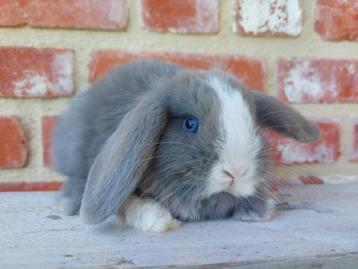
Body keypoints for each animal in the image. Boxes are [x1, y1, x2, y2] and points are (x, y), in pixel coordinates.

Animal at [51, 59, 318, 232]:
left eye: (253, 122)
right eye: (190, 124)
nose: (236, 171)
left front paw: (260, 209)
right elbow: (128, 204)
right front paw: (159, 220)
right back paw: (66, 204)